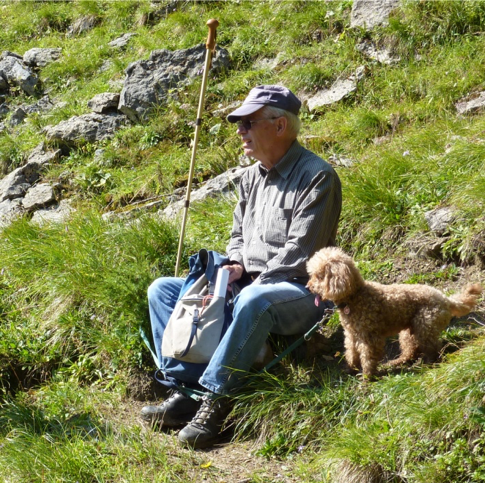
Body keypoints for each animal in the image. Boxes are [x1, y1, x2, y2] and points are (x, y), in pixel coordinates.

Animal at [306, 248, 480, 380]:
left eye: (319, 276)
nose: (308, 287)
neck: (354, 296)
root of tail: (446, 299)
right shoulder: (351, 335)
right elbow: (351, 353)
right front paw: (351, 369)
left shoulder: (369, 337)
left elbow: (368, 357)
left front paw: (367, 378)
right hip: (408, 331)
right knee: (411, 350)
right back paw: (397, 362)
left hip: (425, 325)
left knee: (433, 348)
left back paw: (429, 363)